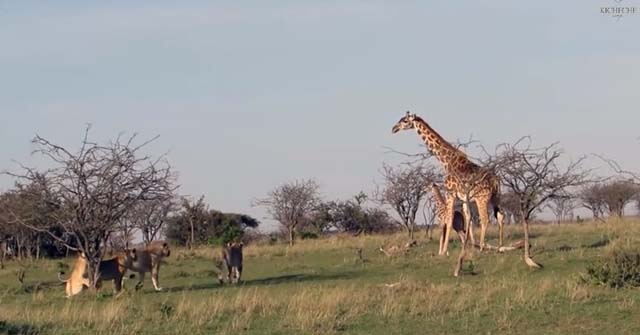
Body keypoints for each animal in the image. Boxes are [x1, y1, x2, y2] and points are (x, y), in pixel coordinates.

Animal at [390, 111, 504, 256]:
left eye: (405, 121)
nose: (394, 128)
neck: (445, 161)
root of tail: (496, 181)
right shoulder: (464, 198)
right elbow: (468, 219)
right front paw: (469, 246)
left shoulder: (449, 193)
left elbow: (449, 220)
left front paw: (444, 251)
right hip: (496, 197)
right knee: (500, 216)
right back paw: (500, 246)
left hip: (482, 198)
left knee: (485, 219)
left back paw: (483, 248)